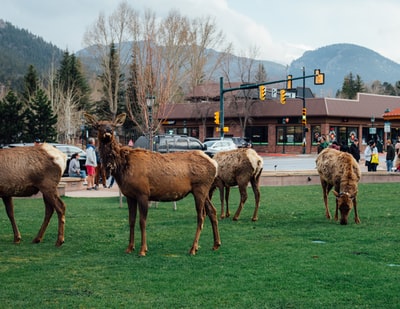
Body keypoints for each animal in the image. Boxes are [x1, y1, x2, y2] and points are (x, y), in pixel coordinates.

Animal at [85, 112, 222, 255]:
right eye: (98, 125)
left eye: (112, 125)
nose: (108, 131)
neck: (122, 168)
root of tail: (214, 164)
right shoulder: (130, 195)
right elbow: (131, 220)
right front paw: (129, 247)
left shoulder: (143, 193)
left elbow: (142, 221)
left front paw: (143, 249)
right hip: (204, 190)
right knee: (212, 211)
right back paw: (216, 244)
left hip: (200, 188)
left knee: (201, 216)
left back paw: (193, 248)